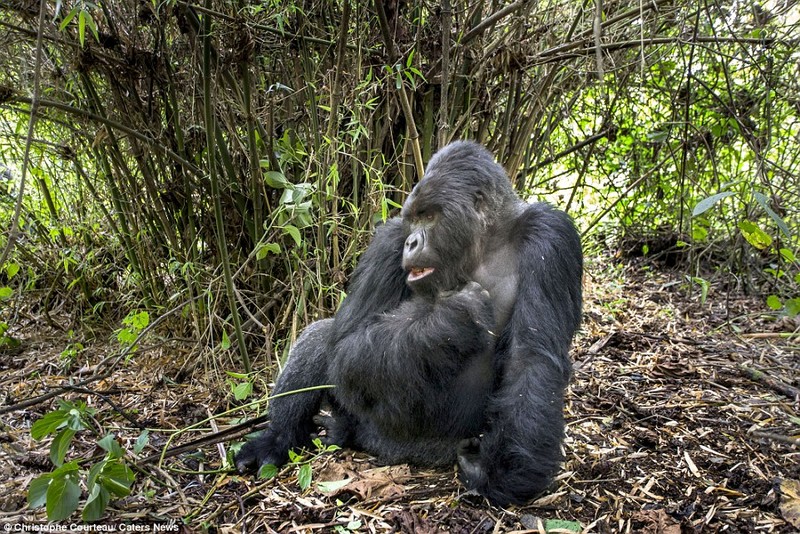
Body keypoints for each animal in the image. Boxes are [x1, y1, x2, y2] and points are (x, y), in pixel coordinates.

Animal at [234, 141, 584, 506]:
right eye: (412, 219)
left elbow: (531, 358)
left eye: (429, 216)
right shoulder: (388, 238)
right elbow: (346, 344)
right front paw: (452, 318)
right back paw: (279, 438)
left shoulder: (550, 235)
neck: (483, 244)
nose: (411, 242)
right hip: (370, 424)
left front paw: (507, 474)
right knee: (324, 339)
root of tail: (392, 451)